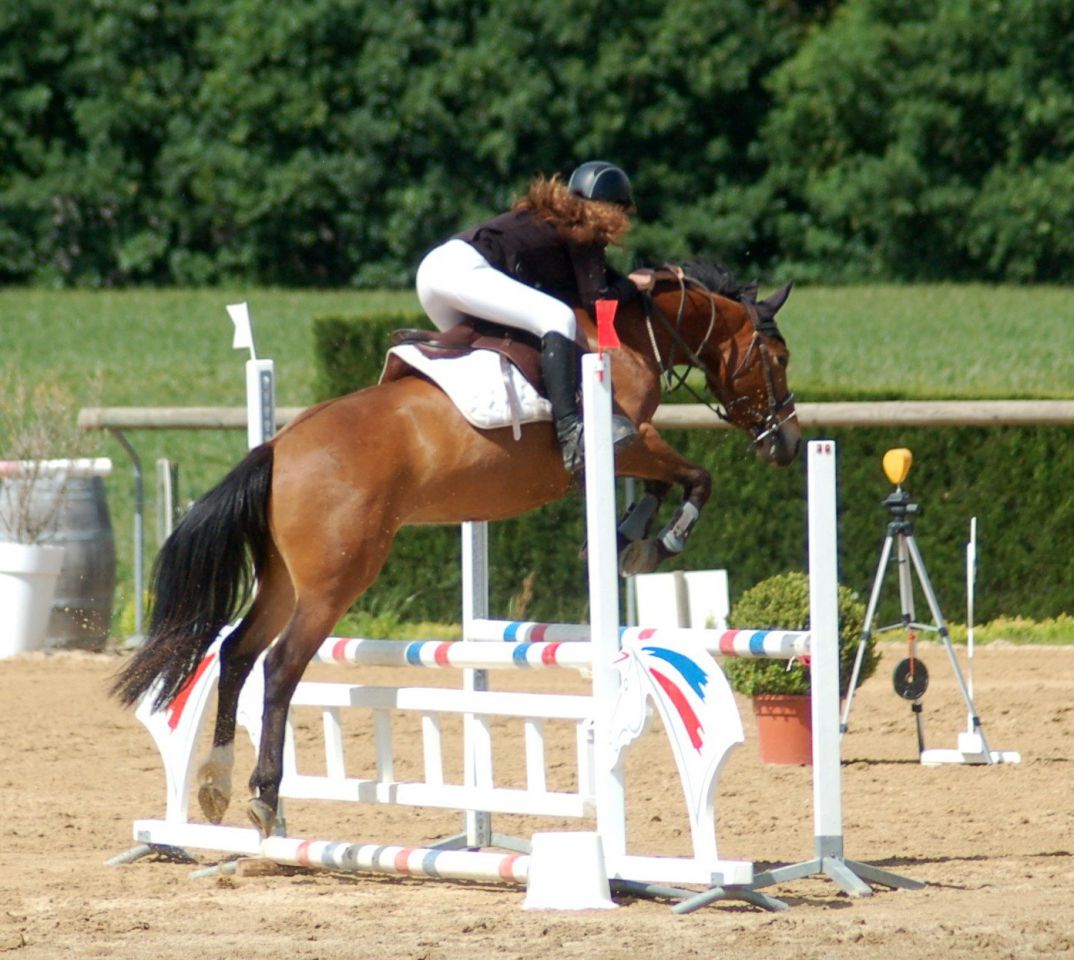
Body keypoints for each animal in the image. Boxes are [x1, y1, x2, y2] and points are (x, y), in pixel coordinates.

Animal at [112, 262, 801, 837]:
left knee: (236, 653)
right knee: (279, 666)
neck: (633, 332)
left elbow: (666, 483)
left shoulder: (628, 449)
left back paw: (217, 785)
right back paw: (263, 795)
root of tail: (277, 448)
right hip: (335, 583)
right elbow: (695, 478)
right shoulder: (631, 439)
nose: (788, 444)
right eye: (779, 355)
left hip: (284, 579)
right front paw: (655, 543)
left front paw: (627, 538)